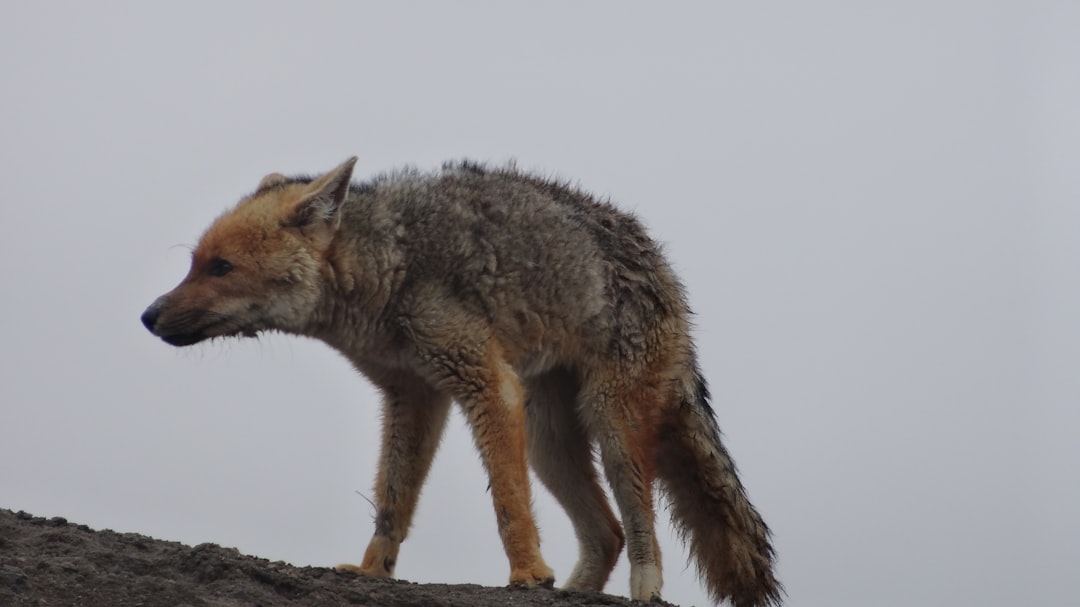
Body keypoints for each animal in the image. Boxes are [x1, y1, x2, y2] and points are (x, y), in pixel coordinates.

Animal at [141, 156, 786, 604]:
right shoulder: (414, 397)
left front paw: (528, 574)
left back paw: (639, 592)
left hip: (610, 427)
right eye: (192, 264)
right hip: (550, 442)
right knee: (607, 533)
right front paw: (374, 571)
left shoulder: (486, 386)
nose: (147, 316)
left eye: (220, 267)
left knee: (640, 529)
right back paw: (577, 590)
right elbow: (391, 501)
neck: (386, 270)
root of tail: (661, 262)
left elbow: (507, 503)